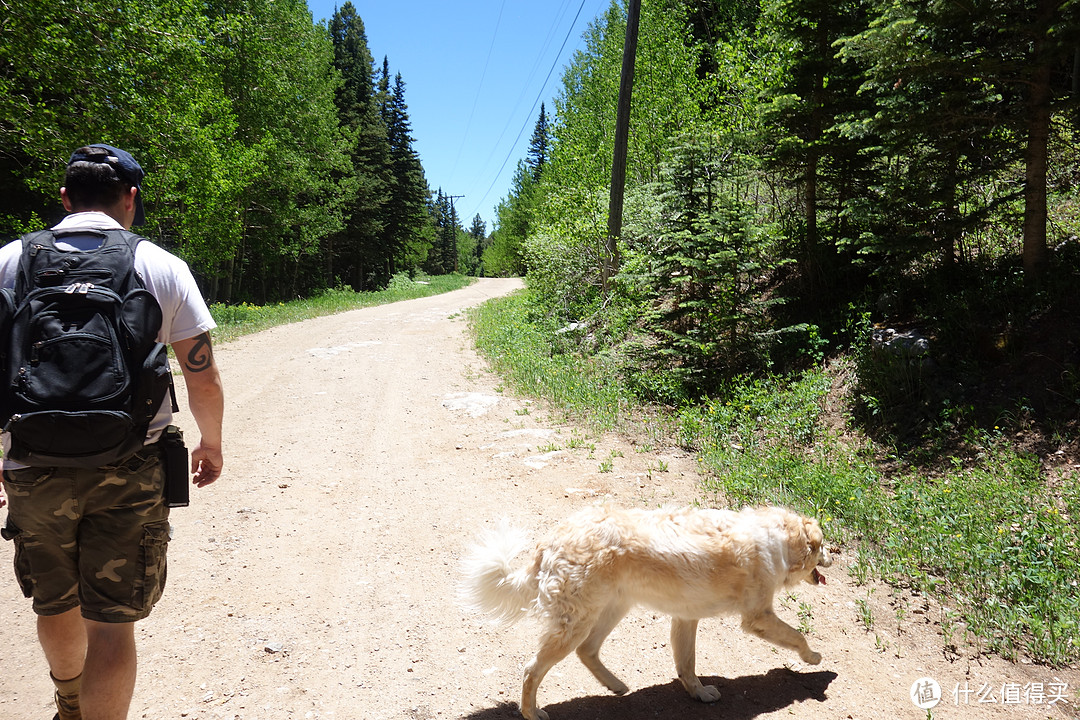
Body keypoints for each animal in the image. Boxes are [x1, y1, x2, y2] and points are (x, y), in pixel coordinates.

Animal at [460, 507, 829, 720]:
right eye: (822, 546)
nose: (833, 556)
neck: (777, 538)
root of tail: (550, 541)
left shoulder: (685, 618)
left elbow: (686, 665)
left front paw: (698, 694)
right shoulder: (757, 617)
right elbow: (798, 636)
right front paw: (813, 657)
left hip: (609, 611)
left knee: (587, 651)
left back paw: (616, 685)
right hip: (576, 625)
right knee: (531, 670)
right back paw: (532, 713)